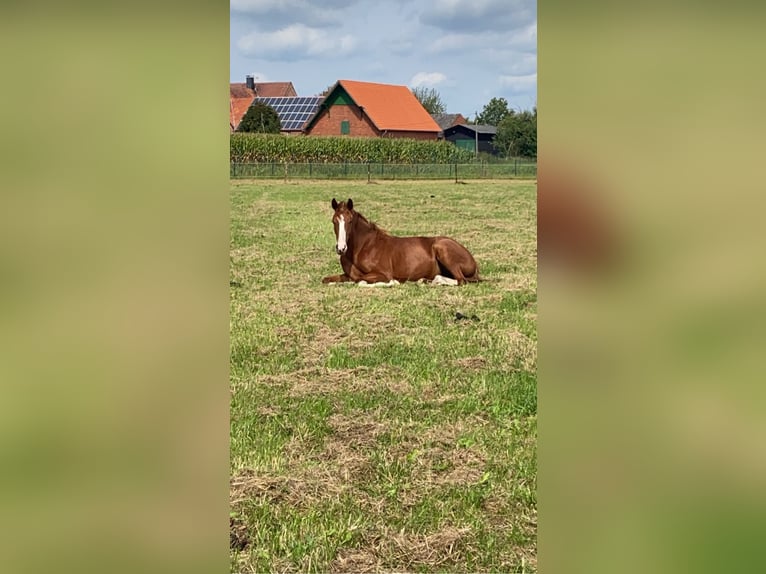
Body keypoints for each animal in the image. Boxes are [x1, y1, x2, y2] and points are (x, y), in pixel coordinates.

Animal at [320, 199, 480, 286]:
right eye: (334, 221)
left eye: (350, 221)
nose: (341, 248)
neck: (363, 247)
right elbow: (327, 279)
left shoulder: (383, 274)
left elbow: (359, 280)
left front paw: (394, 282)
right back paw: (426, 281)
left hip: (443, 250)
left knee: (461, 280)